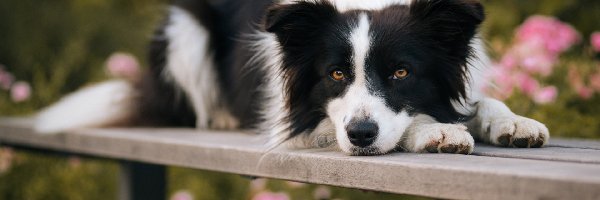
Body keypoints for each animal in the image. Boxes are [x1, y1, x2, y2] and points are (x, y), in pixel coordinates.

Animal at [34, 0, 548, 155]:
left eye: (402, 72)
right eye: (335, 73)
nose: (360, 136)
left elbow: (477, 103)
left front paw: (512, 122)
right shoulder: (297, 119)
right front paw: (435, 130)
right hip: (184, 30)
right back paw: (223, 118)